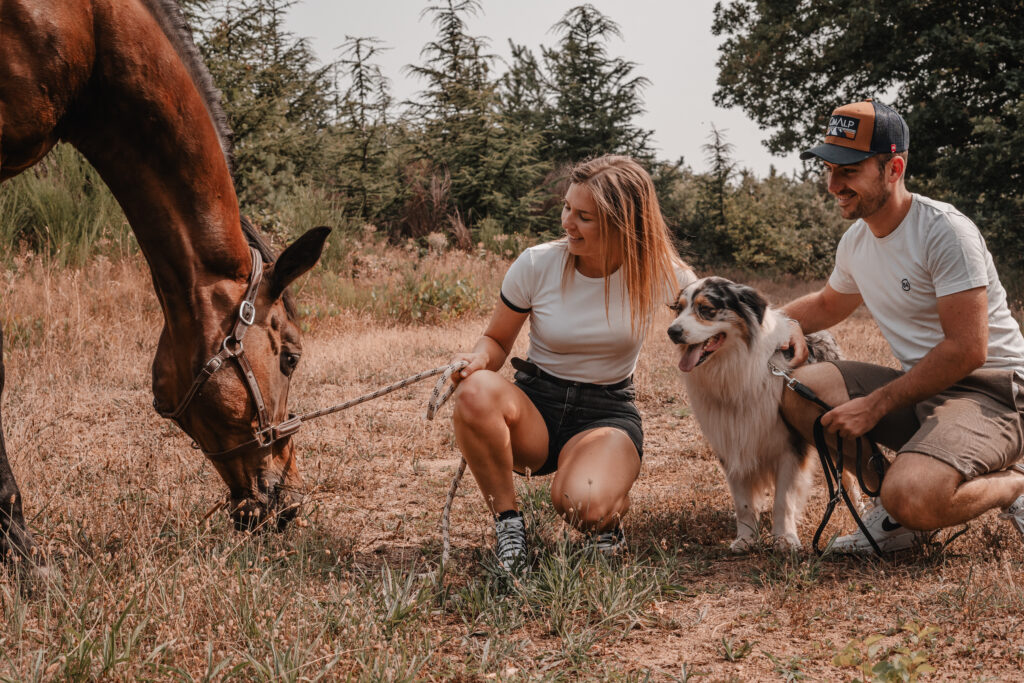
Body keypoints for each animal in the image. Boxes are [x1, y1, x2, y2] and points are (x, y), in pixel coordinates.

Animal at [667, 276, 843, 548]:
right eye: (679, 308)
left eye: (706, 309)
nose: (672, 332)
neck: (735, 366)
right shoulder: (731, 442)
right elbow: (743, 502)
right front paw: (746, 538)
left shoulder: (789, 446)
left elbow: (784, 500)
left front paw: (785, 538)